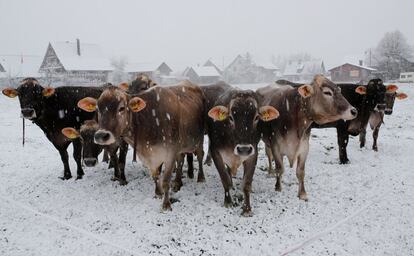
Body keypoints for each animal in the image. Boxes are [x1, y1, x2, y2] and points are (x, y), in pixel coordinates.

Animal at [77, 81, 205, 211]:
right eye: (98, 109)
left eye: (121, 108)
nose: (101, 135)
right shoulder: (150, 157)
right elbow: (155, 176)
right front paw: (158, 193)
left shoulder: (170, 154)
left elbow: (165, 181)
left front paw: (166, 205)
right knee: (181, 160)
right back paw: (177, 183)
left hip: (198, 140)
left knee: (200, 156)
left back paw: (200, 178)